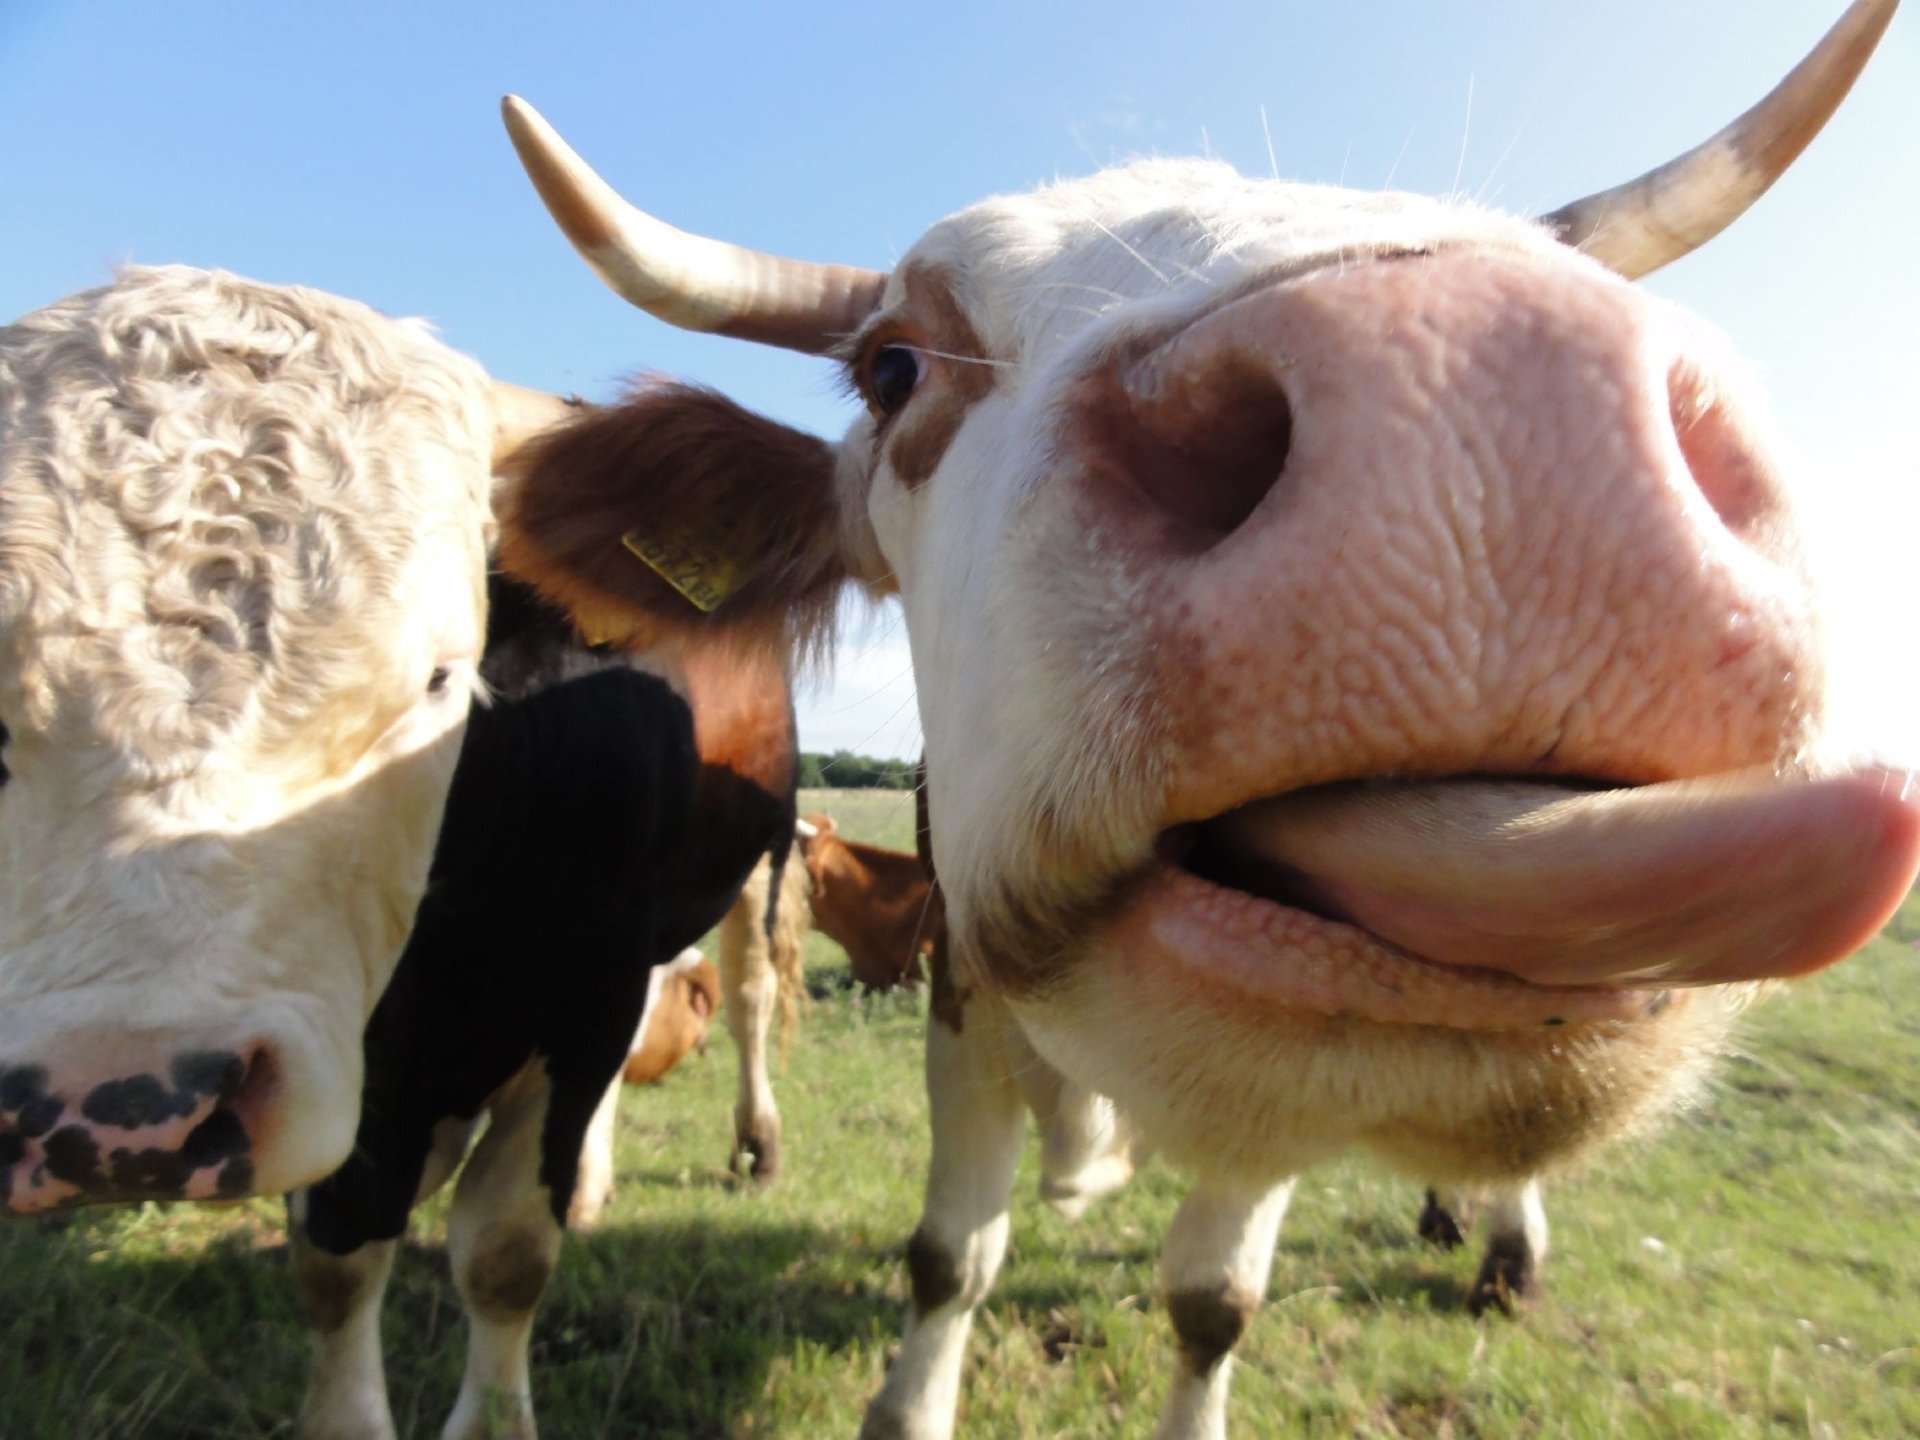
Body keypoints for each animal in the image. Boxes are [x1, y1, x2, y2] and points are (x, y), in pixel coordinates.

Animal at [286, 570, 798, 1440]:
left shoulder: (586, 992)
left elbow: (505, 1249)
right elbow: (337, 1256)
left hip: (759, 852)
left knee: (748, 994)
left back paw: (756, 1146)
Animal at [492, 3, 1919, 1436]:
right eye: (892, 368)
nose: (1478, 388)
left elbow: (1211, 1301)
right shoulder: (962, 985)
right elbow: (951, 1256)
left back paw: (1498, 1241)